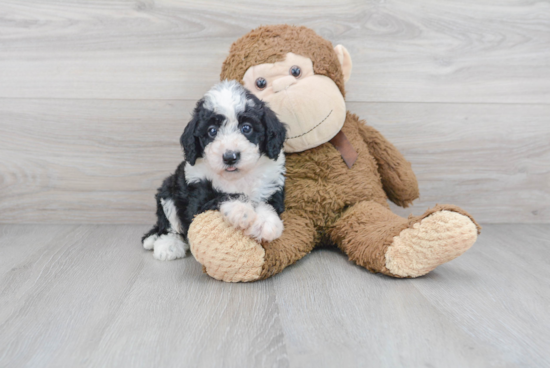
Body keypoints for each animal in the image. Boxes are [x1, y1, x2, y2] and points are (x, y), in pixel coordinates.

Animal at [142, 80, 288, 262]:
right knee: (169, 225)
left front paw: (266, 221)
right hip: (168, 190)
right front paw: (241, 210)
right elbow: (220, 196)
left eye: (246, 128)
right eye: (212, 131)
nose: (230, 157)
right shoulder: (196, 196)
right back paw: (168, 245)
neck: (236, 177)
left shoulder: (271, 184)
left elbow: (266, 203)